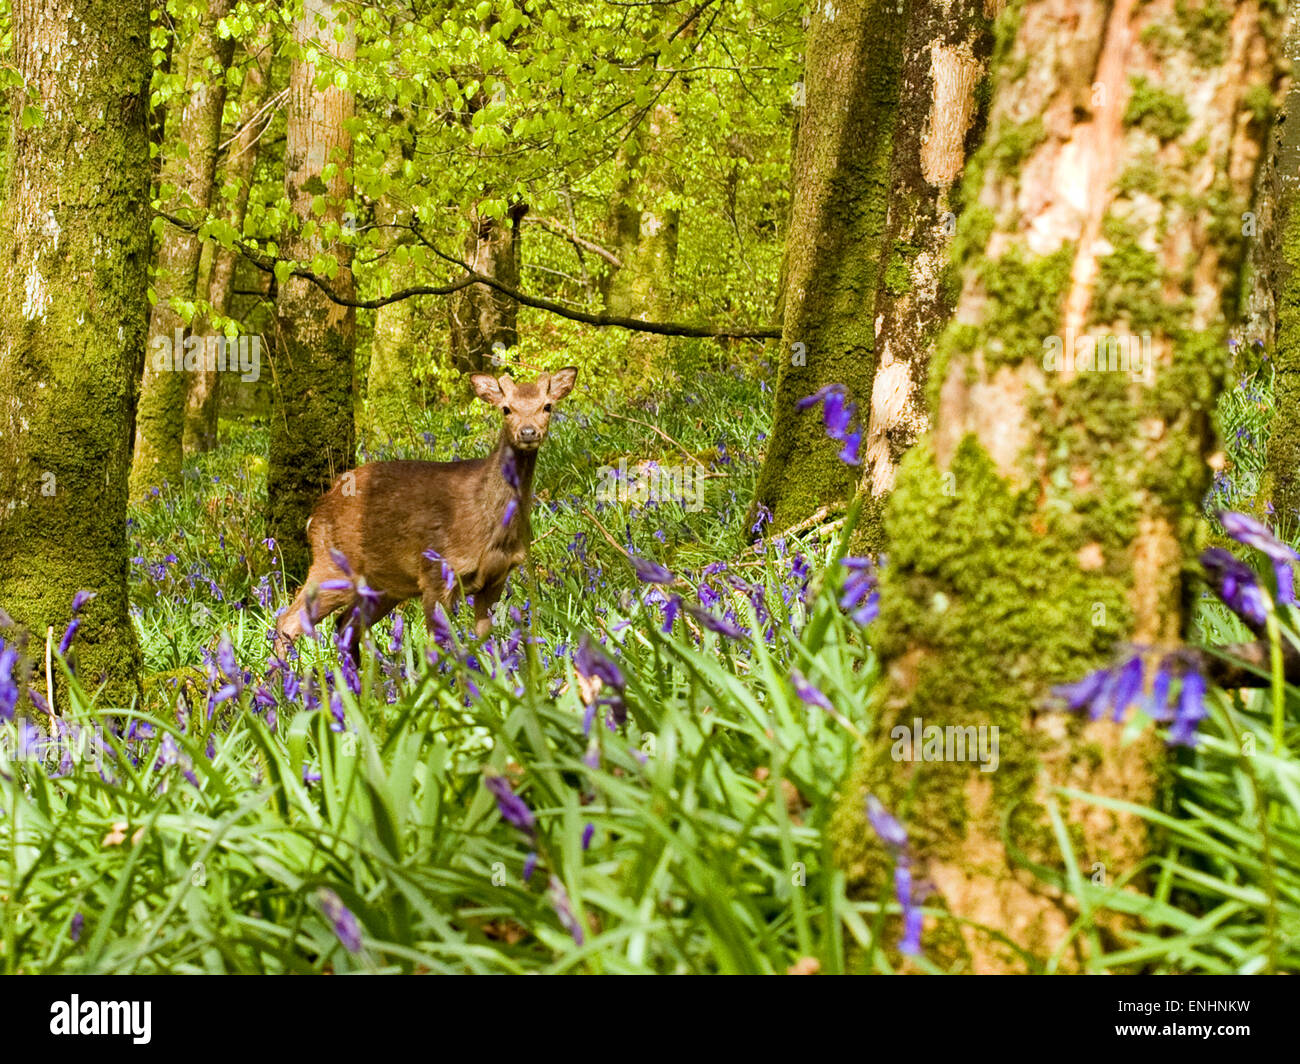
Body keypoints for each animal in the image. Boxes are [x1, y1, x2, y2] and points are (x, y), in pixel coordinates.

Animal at [271, 369, 577, 658]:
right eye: (506, 408)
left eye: (547, 406)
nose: (528, 432)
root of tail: (315, 514)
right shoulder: (435, 574)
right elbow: (437, 648)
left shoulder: (496, 578)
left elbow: (484, 639)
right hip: (331, 565)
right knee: (289, 622)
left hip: (384, 586)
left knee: (344, 625)